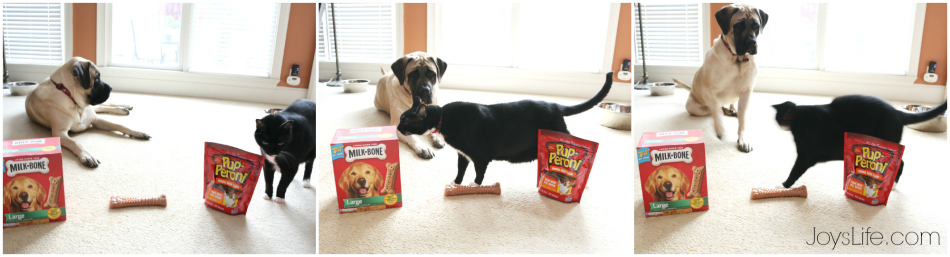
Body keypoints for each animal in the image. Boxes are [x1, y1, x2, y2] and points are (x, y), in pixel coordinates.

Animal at [398, 71, 612, 185]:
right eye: (400, 119)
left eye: (406, 121)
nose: (398, 128)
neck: (444, 117)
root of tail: (555, 105)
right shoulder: (462, 154)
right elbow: (460, 170)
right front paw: (456, 184)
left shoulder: (480, 157)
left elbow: (479, 174)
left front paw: (473, 186)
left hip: (560, 135)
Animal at [672, 4, 768, 152]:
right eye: (738, 26)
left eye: (756, 26)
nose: (751, 42)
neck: (737, 59)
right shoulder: (709, 91)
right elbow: (717, 112)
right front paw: (720, 129)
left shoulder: (746, 92)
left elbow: (743, 120)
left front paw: (743, 139)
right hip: (695, 107)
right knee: (714, 109)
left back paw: (732, 109)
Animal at [772, 95, 944, 187]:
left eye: (778, 118)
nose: (777, 125)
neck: (800, 117)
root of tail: (898, 113)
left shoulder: (806, 154)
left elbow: (795, 170)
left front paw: (784, 185)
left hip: (887, 141)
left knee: (900, 163)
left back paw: (892, 184)